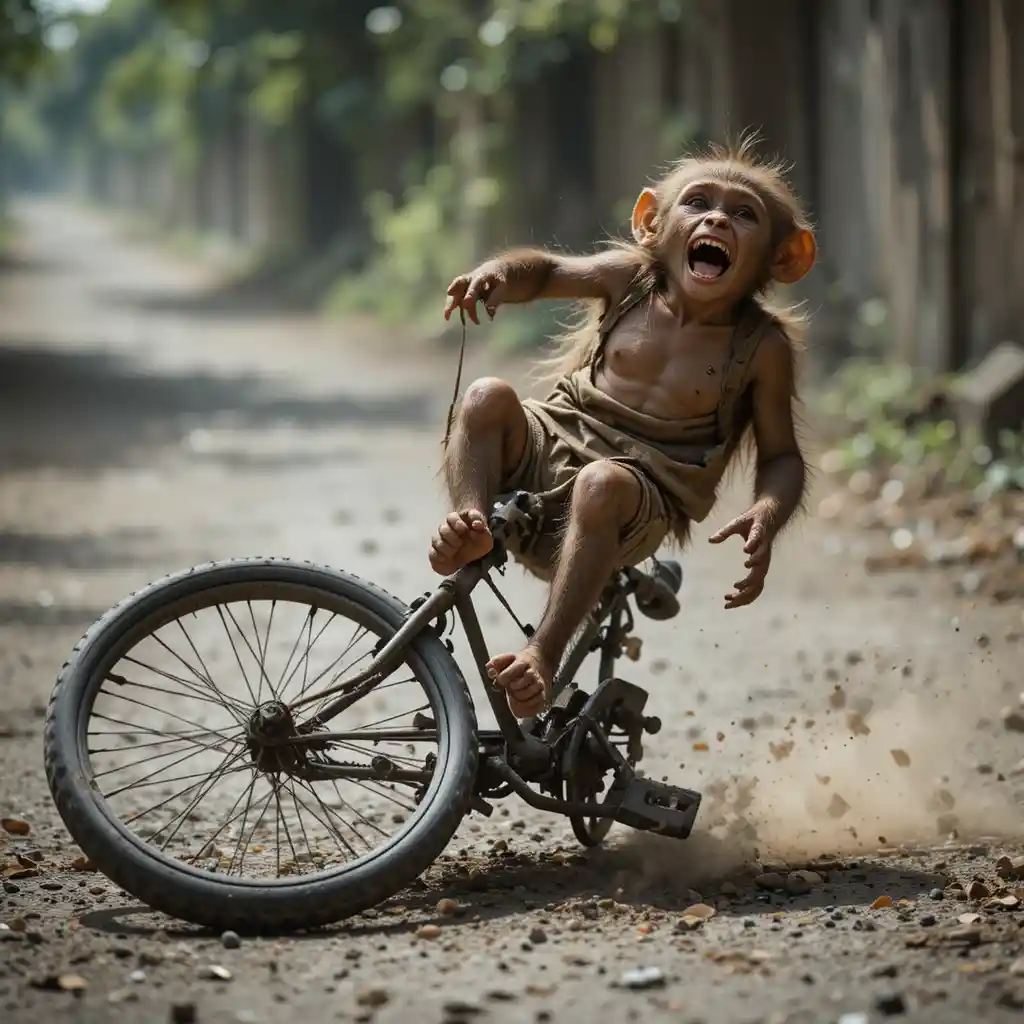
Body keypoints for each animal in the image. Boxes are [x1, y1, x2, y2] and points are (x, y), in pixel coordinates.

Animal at [432, 135, 817, 720]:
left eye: (745, 213)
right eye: (698, 202)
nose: (718, 223)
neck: (692, 311)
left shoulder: (773, 357)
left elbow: (779, 453)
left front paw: (757, 539)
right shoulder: (622, 269)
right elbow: (552, 272)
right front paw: (488, 280)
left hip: (625, 514)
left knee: (604, 491)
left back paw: (532, 668)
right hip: (541, 455)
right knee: (487, 398)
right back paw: (463, 540)